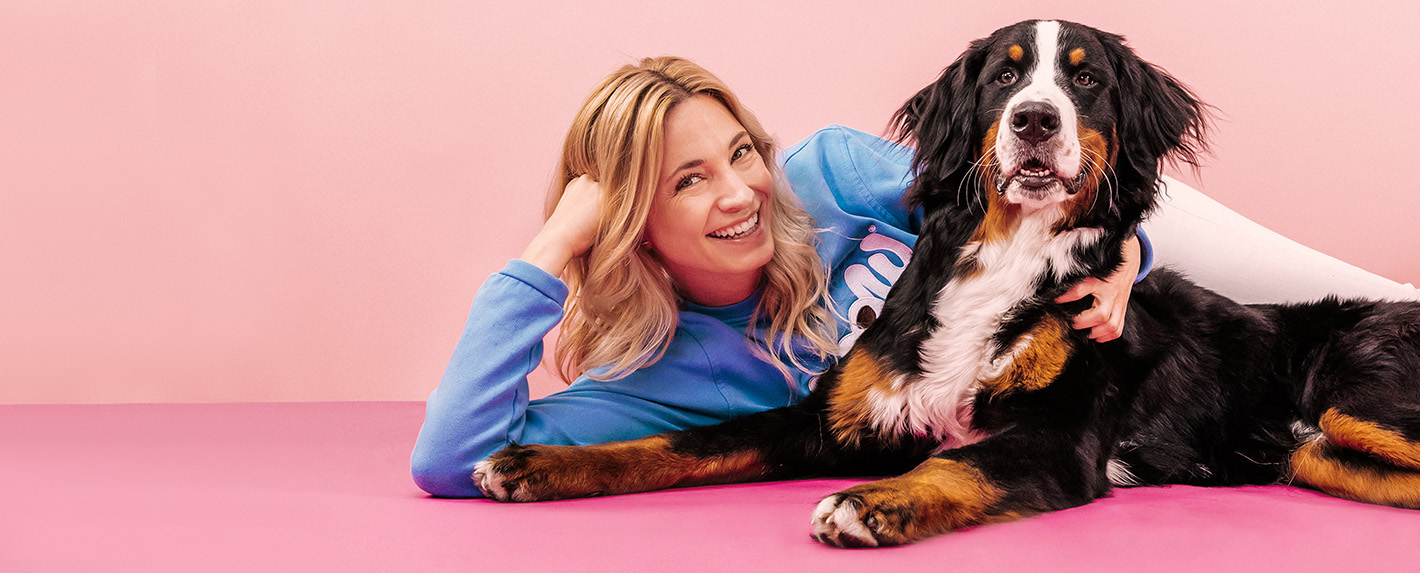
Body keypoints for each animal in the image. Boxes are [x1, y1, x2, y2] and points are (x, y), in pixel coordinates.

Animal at [477, 17, 1420, 547]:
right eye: (1005, 74)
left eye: (1086, 78)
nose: (1034, 119)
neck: (1004, 258)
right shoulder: (833, 417)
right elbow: (683, 441)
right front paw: (539, 463)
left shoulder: (1055, 438)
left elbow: (955, 465)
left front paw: (871, 504)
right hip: (1315, 449)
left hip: (1355, 395)